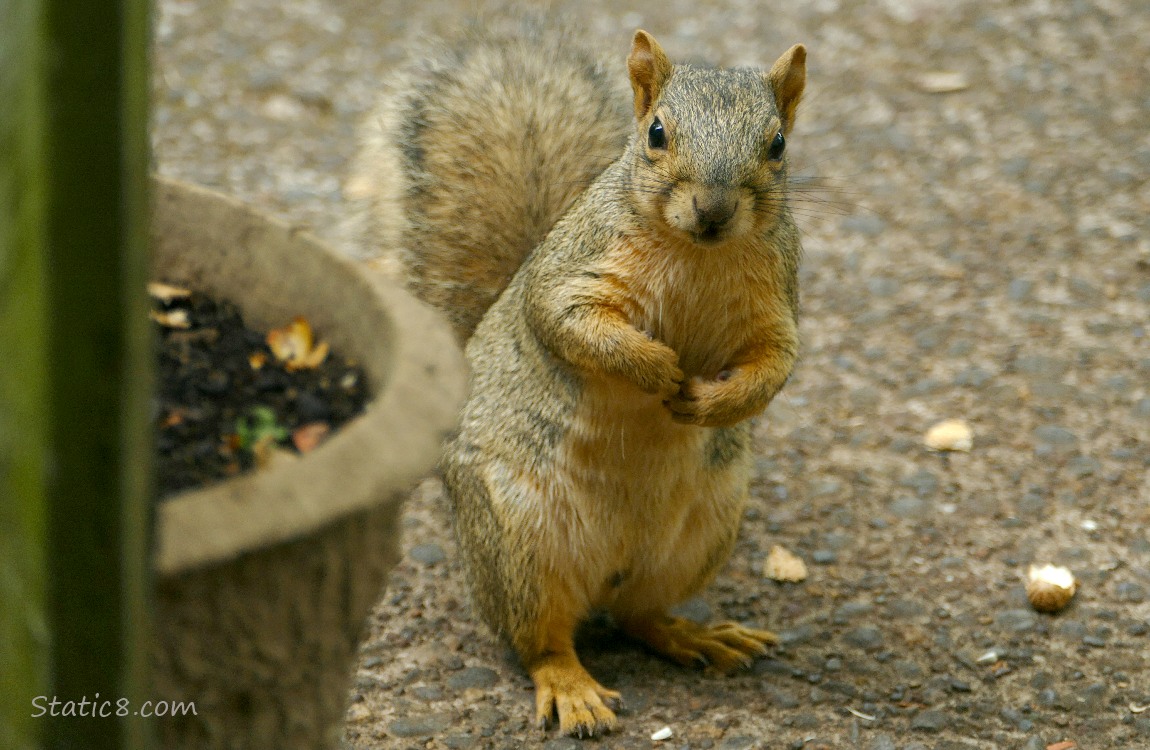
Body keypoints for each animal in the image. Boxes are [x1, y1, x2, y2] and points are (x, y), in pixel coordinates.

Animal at [352, 20, 806, 738]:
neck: (698, 254)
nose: (712, 210)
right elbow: (567, 323)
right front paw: (656, 366)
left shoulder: (775, 307)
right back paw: (572, 688)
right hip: (520, 545)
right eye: (656, 133)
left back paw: (695, 635)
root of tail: (608, 572)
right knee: (540, 641)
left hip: (703, 533)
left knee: (640, 616)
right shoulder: (572, 271)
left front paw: (711, 399)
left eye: (778, 143)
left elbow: (775, 366)